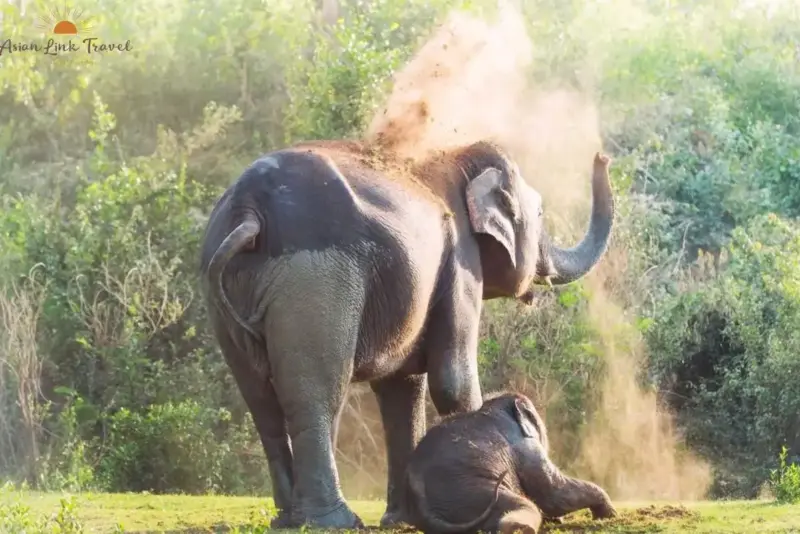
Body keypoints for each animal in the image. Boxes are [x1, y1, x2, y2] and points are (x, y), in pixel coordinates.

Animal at [395, 390, 618, 534]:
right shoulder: (524, 446)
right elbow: (554, 493)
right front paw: (609, 514)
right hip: (469, 491)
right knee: (525, 505)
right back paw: (520, 529)